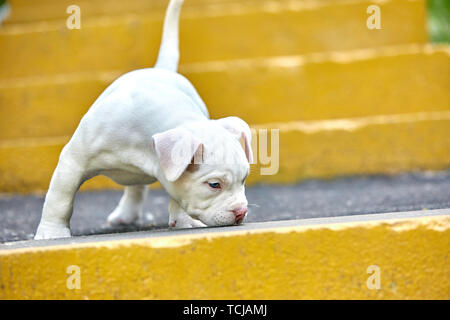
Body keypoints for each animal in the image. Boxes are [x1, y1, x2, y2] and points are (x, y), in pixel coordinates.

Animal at [34, 0, 253, 240]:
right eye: (214, 185)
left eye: (244, 179)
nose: (241, 211)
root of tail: (161, 70)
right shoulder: (73, 162)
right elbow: (60, 199)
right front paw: (52, 232)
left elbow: (178, 194)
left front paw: (184, 221)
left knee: (136, 188)